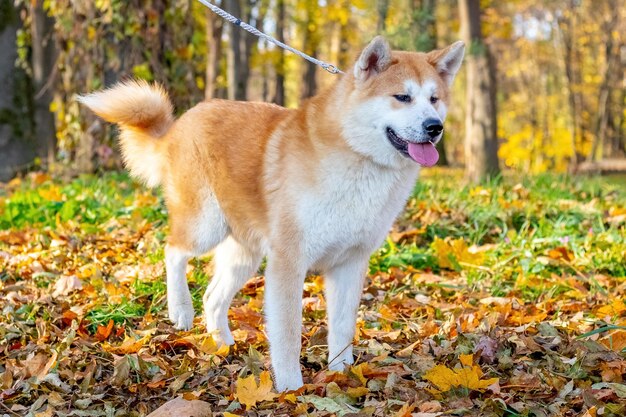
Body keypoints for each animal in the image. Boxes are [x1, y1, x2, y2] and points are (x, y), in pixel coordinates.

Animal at [79, 36, 464, 390]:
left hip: (244, 255)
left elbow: (342, 328)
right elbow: (288, 333)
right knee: (173, 252)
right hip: (206, 226)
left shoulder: (350, 263)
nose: (435, 127)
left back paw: (223, 346)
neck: (356, 159)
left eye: (434, 99)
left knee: (212, 297)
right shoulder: (288, 261)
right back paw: (180, 309)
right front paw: (291, 389)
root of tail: (181, 123)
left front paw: (342, 375)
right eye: (402, 97)